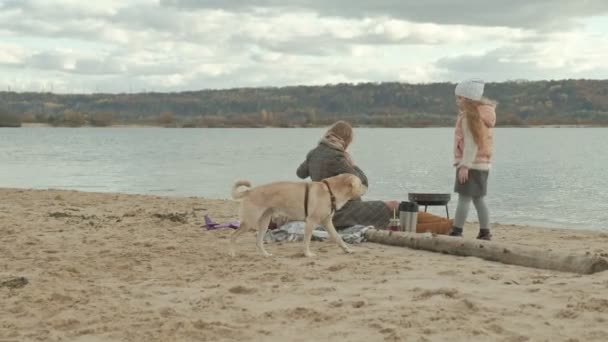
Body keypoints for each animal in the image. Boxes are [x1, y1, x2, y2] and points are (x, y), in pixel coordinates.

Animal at [232, 174, 366, 256]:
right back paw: (232, 253)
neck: (331, 191)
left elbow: (338, 237)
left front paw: (347, 249)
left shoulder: (327, 222)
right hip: (249, 221)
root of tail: (249, 191)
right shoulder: (311, 222)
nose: (366, 187)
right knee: (232, 236)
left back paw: (265, 255)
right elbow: (306, 240)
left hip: (264, 222)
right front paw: (307, 254)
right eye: (360, 184)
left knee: (258, 241)